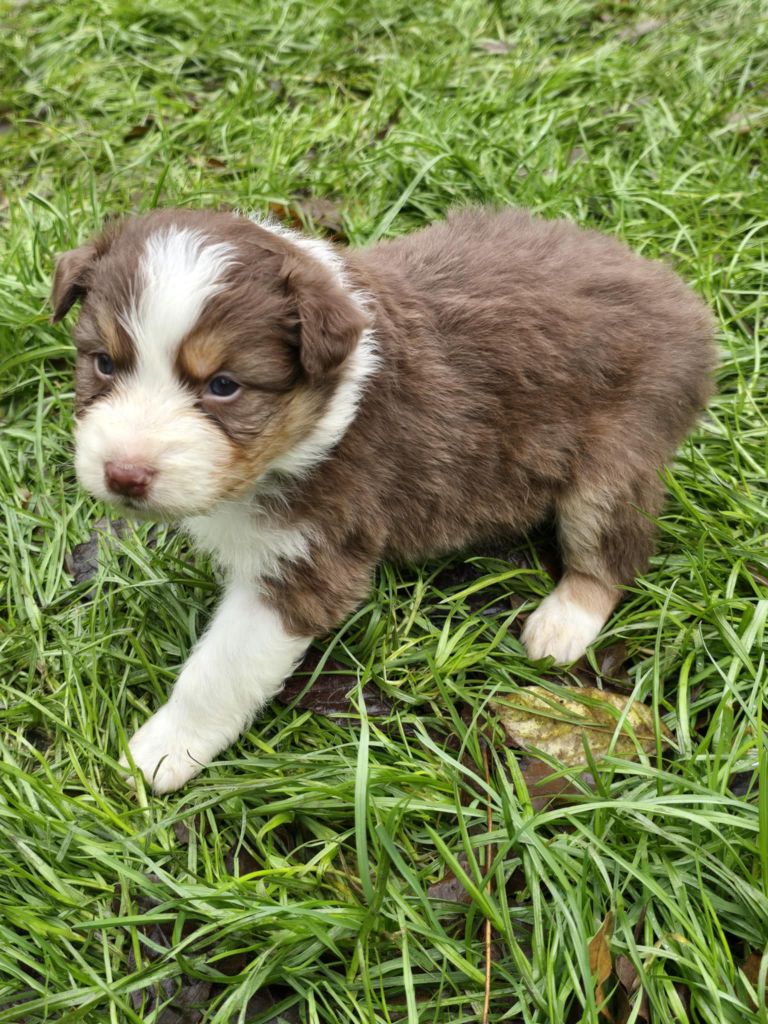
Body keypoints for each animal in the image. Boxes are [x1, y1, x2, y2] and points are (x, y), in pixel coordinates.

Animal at [51, 205, 720, 790]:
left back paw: (561, 624)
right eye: (104, 362)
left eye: (224, 386)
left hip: (614, 462)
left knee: (613, 551)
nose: (124, 475)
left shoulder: (310, 557)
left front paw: (162, 752)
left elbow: (219, 672)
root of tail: (681, 301)